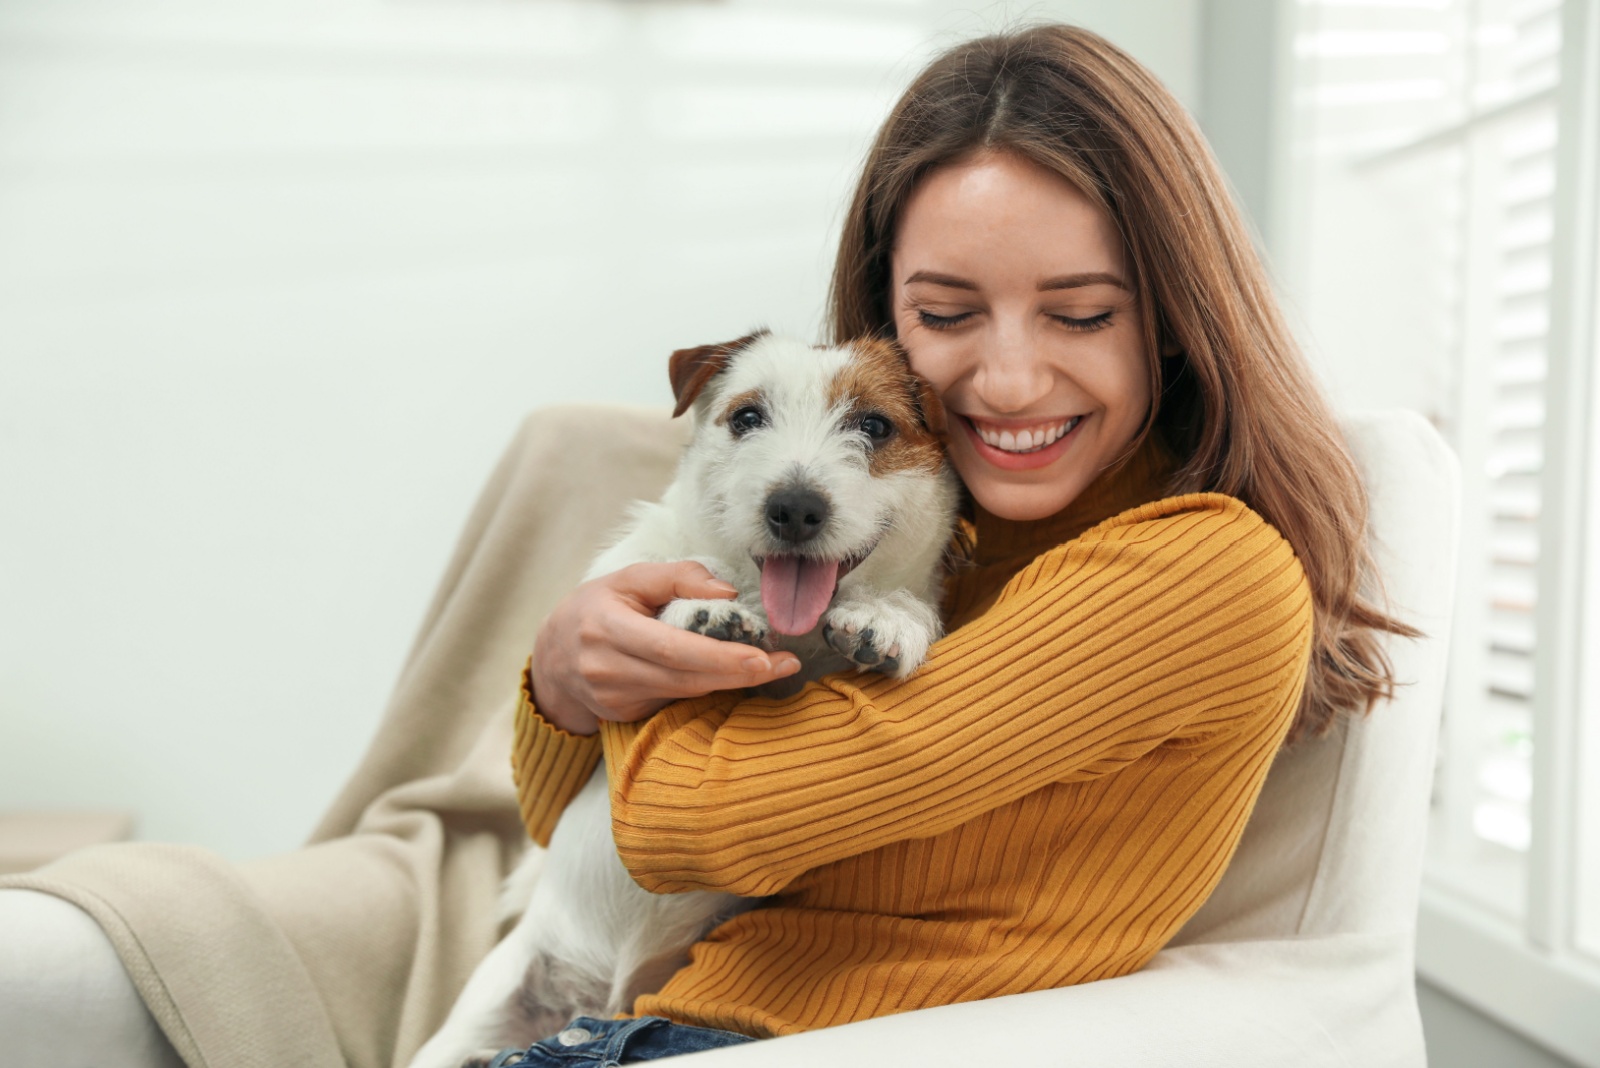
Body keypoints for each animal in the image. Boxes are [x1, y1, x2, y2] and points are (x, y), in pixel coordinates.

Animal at [412, 330, 960, 1068]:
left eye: (874, 426)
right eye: (747, 417)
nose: (793, 507)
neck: (788, 627)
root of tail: (595, 1001)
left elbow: (902, 607)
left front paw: (889, 617)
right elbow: (678, 575)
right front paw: (705, 608)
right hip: (482, 1012)